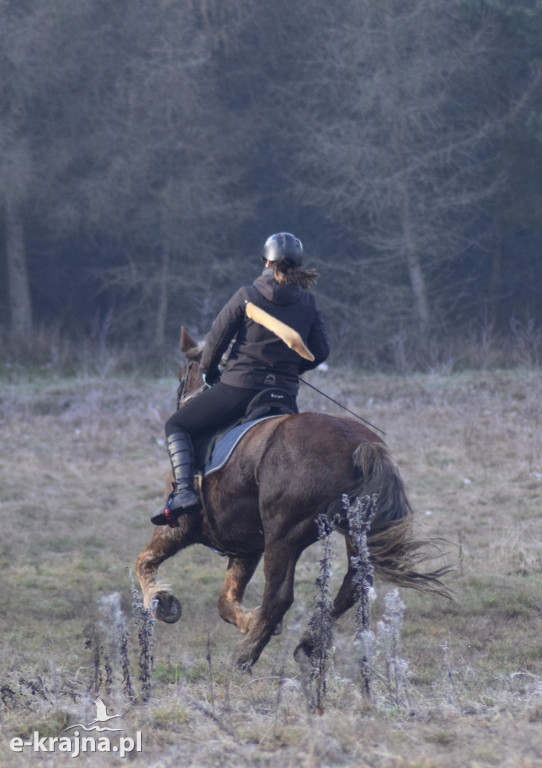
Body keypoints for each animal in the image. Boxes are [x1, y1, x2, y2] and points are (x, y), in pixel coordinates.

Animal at [136, 328, 450, 668]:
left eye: (183, 376)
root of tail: (360, 444)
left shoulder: (178, 528)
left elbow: (144, 562)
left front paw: (161, 601)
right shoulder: (245, 547)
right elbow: (225, 600)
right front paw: (249, 620)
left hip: (284, 536)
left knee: (279, 596)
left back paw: (245, 655)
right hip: (353, 531)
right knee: (354, 584)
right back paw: (308, 643)